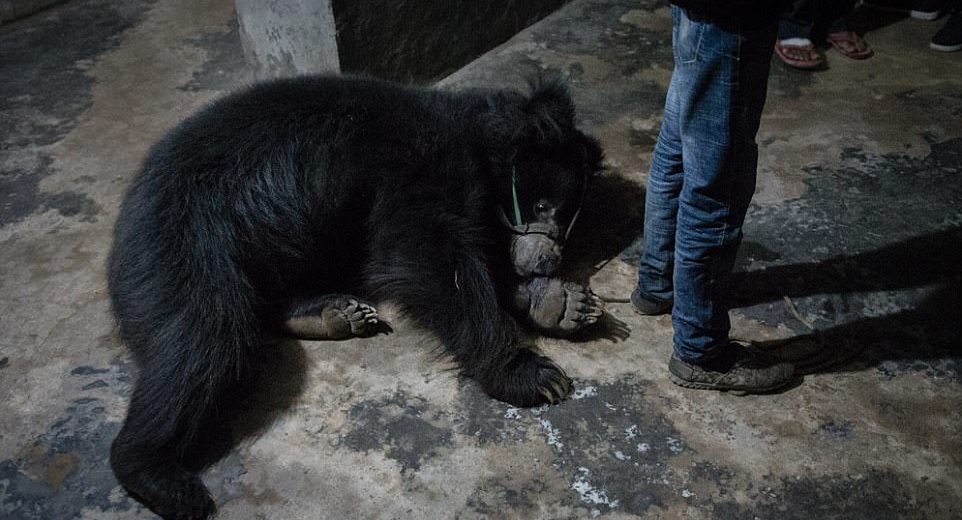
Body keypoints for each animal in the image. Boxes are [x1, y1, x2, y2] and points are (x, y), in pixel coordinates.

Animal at [107, 74, 604, 519]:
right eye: (544, 206)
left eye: (571, 219)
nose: (546, 261)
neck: (476, 139)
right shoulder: (420, 171)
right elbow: (427, 258)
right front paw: (536, 377)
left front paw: (562, 304)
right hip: (188, 240)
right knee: (203, 337)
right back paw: (160, 477)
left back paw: (335, 314)